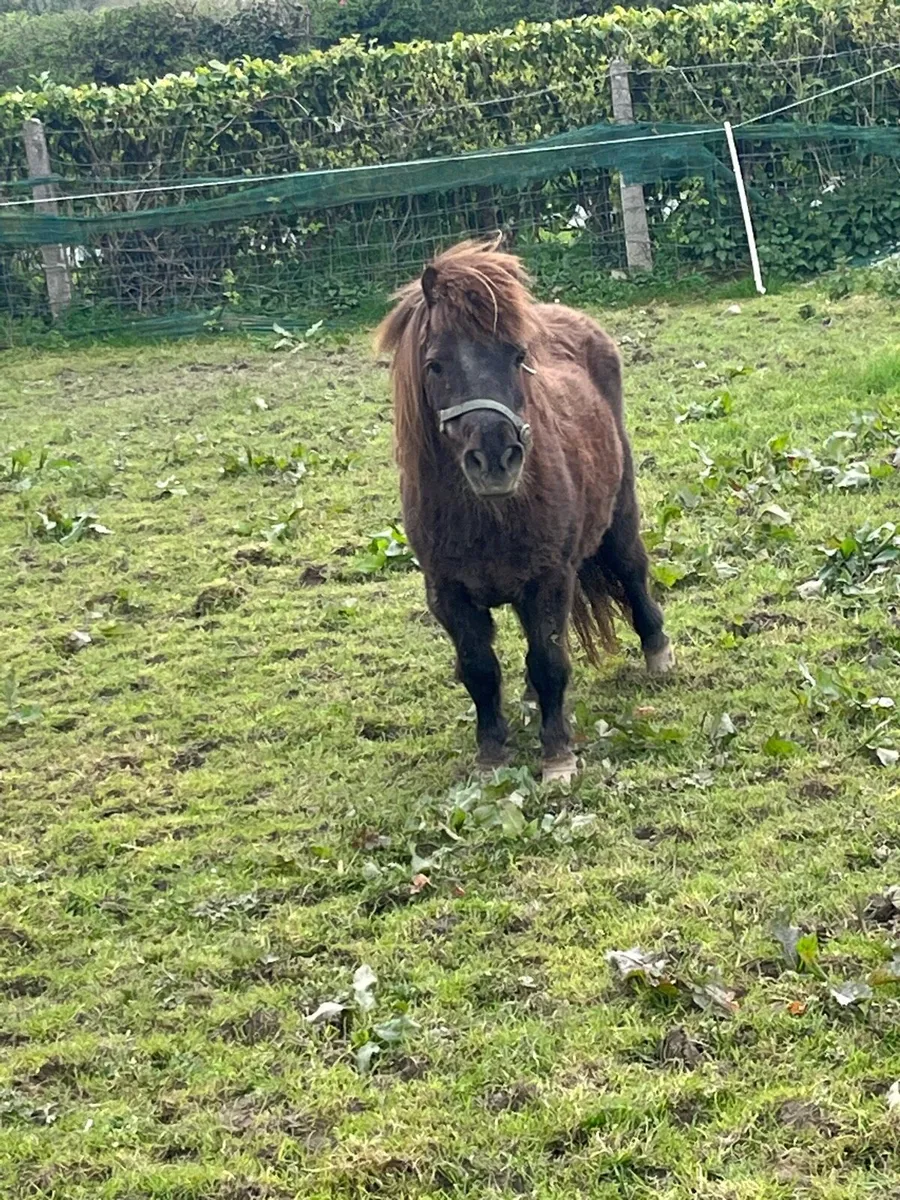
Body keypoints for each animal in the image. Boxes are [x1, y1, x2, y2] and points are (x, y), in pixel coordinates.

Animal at [376, 237, 674, 783]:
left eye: (517, 357)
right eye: (435, 364)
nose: (496, 457)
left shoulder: (550, 579)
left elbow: (549, 660)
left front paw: (558, 755)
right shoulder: (448, 593)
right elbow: (480, 669)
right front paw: (492, 754)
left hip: (619, 515)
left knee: (631, 569)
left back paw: (657, 651)